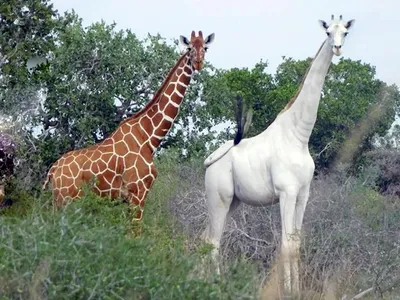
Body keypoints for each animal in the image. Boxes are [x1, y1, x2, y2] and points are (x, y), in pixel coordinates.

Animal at [42, 31, 216, 223]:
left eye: (205, 47)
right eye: (189, 48)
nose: (198, 62)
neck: (148, 137)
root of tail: (52, 171)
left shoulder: (127, 199)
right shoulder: (138, 193)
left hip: (59, 201)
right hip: (66, 201)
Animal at [202, 15, 354, 294]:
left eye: (345, 32)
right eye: (328, 32)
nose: (337, 48)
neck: (299, 136)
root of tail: (208, 162)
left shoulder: (303, 194)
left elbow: (295, 243)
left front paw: (298, 290)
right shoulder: (286, 192)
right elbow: (285, 244)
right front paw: (289, 291)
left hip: (233, 201)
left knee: (205, 237)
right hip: (219, 197)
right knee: (213, 241)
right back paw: (215, 283)